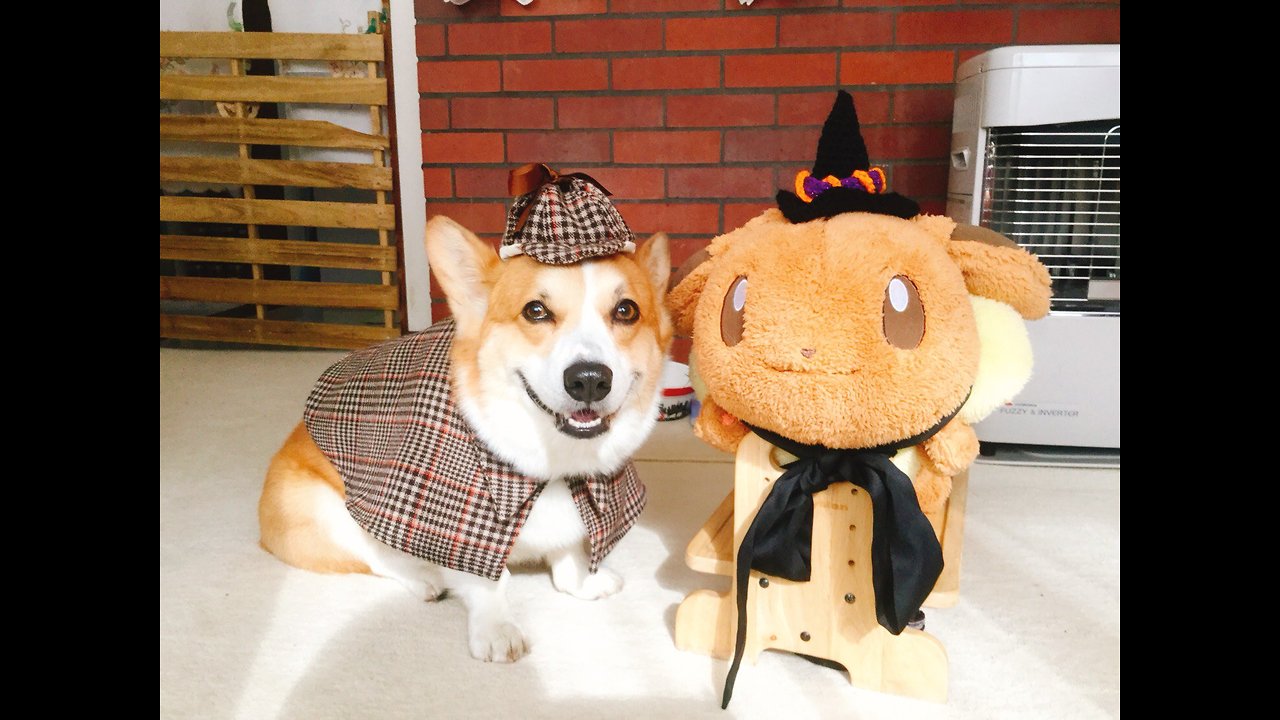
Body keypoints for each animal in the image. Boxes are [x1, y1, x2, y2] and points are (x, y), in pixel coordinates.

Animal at [262, 213, 680, 661]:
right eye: (535, 311)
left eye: (626, 310)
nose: (589, 380)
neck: (551, 462)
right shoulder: (456, 534)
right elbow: (486, 582)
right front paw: (497, 629)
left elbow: (569, 558)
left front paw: (586, 582)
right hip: (321, 507)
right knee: (374, 555)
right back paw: (423, 578)